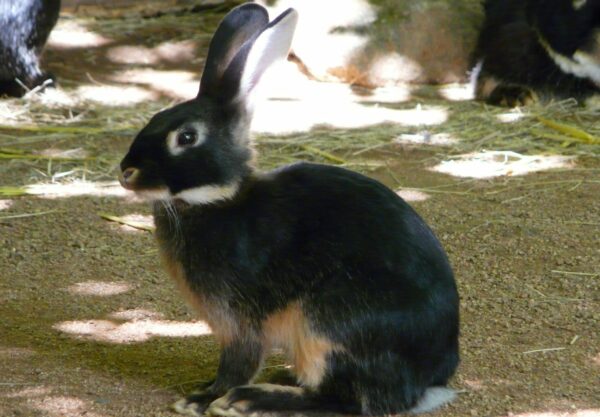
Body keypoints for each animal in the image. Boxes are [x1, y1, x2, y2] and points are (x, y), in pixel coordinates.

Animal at [119, 4, 462, 416]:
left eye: (186, 137)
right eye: (154, 118)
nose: (126, 172)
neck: (220, 199)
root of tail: (429, 379)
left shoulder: (240, 321)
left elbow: (237, 363)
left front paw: (203, 398)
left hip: (329, 320)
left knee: (350, 401)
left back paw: (253, 399)